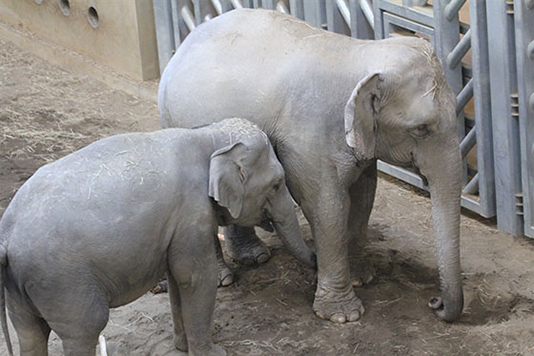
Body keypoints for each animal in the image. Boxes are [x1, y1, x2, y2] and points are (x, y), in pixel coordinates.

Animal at [0, 119, 316, 356]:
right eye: (277, 184)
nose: (315, 258)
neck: (208, 136)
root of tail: (7, 239)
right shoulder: (191, 213)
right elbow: (195, 277)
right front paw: (214, 353)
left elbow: (177, 279)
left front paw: (182, 348)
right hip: (64, 282)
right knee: (84, 330)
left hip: (22, 289)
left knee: (30, 333)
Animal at [159, 9, 464, 326]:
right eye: (421, 129)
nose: (435, 302)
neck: (361, 54)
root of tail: (186, 42)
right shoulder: (308, 136)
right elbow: (326, 207)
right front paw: (344, 315)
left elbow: (364, 195)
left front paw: (361, 277)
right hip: (174, 118)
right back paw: (224, 279)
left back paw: (255, 257)